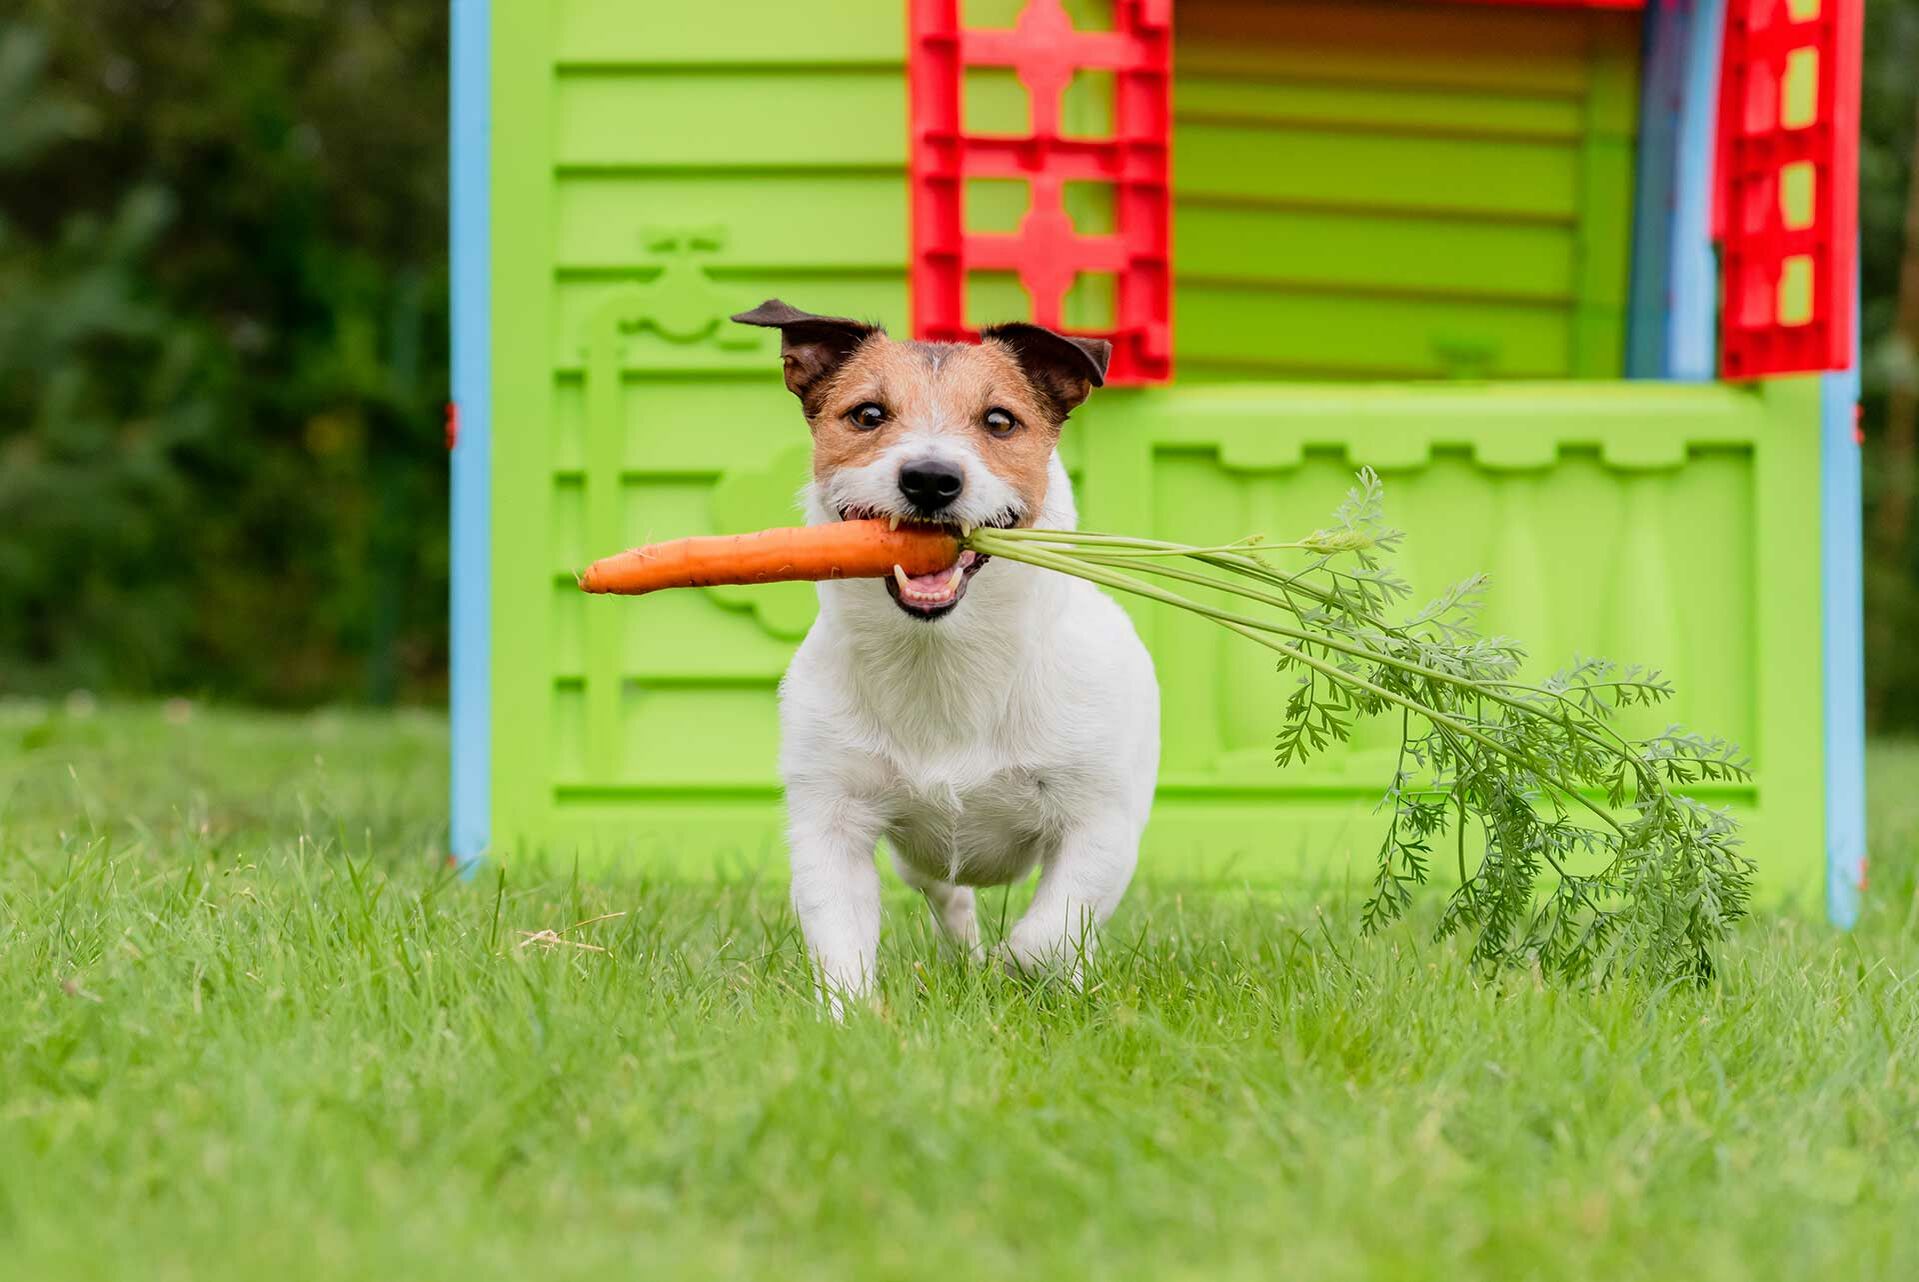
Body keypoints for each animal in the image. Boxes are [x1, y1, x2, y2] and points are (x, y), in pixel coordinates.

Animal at [729, 297, 1151, 997]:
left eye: (1000, 420)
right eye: (868, 414)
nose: (930, 478)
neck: (946, 657)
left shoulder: (1102, 823)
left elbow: (1048, 933)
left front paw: (1020, 968)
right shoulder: (831, 818)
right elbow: (839, 942)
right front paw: (851, 1015)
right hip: (917, 856)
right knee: (949, 897)